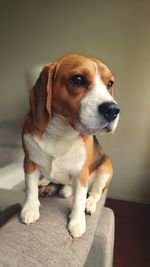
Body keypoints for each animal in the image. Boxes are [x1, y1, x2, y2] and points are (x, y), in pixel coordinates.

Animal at [20, 54, 119, 239]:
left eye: (110, 84)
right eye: (78, 79)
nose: (113, 110)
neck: (60, 133)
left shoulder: (81, 173)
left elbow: (79, 199)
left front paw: (77, 222)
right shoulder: (29, 161)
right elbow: (30, 187)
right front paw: (30, 208)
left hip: (106, 169)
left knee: (95, 193)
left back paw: (89, 203)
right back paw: (46, 185)